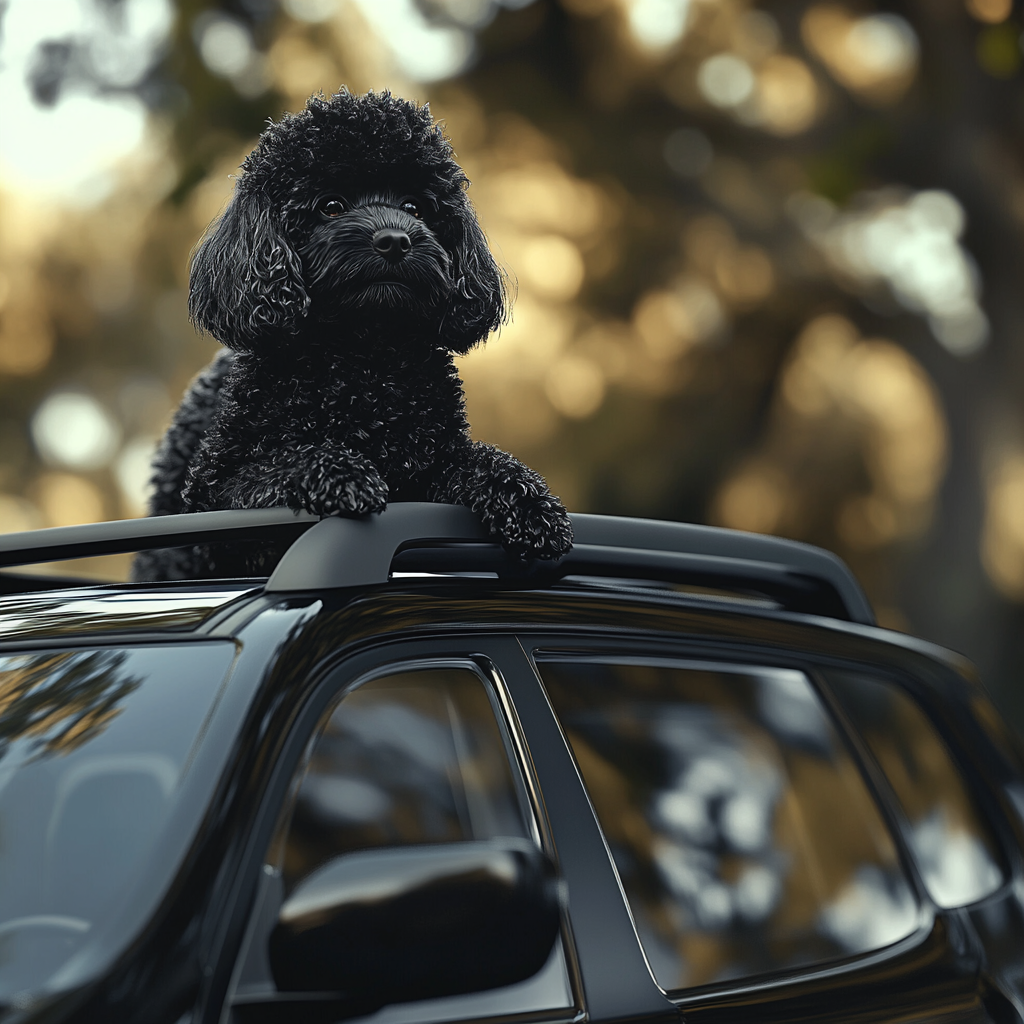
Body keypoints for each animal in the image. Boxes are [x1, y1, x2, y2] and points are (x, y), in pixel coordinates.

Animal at [132, 87, 573, 581]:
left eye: (414, 207)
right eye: (331, 205)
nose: (395, 239)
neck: (363, 358)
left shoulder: (430, 462)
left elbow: (481, 460)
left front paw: (530, 504)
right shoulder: (213, 494)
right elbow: (279, 465)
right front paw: (342, 473)